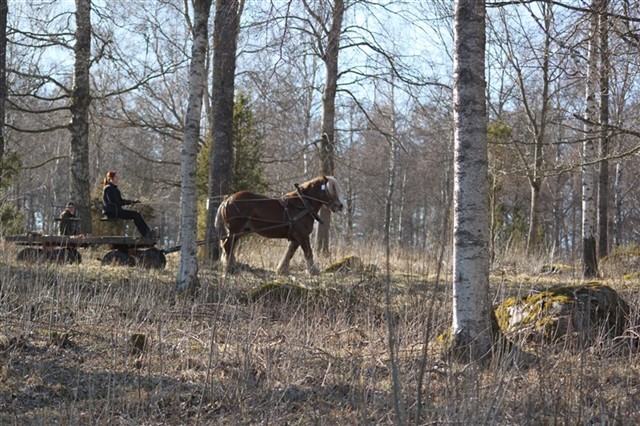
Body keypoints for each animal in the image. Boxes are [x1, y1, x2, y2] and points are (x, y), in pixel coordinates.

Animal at [214, 175, 344, 274]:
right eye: (332, 189)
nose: (340, 206)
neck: (303, 204)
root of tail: (228, 199)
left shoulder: (296, 238)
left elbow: (289, 254)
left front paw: (282, 270)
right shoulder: (303, 235)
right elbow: (308, 253)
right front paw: (313, 271)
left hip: (239, 231)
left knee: (228, 246)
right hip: (235, 230)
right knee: (227, 246)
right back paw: (230, 268)